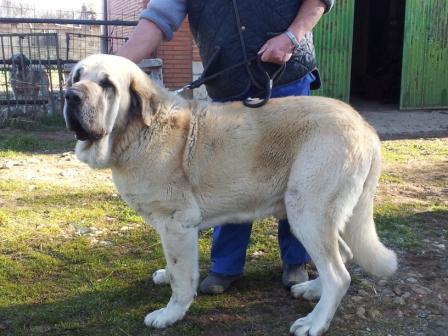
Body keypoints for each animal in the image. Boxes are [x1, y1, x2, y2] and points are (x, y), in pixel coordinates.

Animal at [64, 53, 400, 334]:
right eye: (76, 76)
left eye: (107, 84)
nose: (70, 95)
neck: (137, 132)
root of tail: (365, 126)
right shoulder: (168, 228)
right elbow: (174, 267)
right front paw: (165, 276)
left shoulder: (177, 224)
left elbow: (182, 278)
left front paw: (170, 314)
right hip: (314, 216)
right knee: (343, 255)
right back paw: (312, 290)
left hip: (307, 212)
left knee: (339, 275)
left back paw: (314, 322)